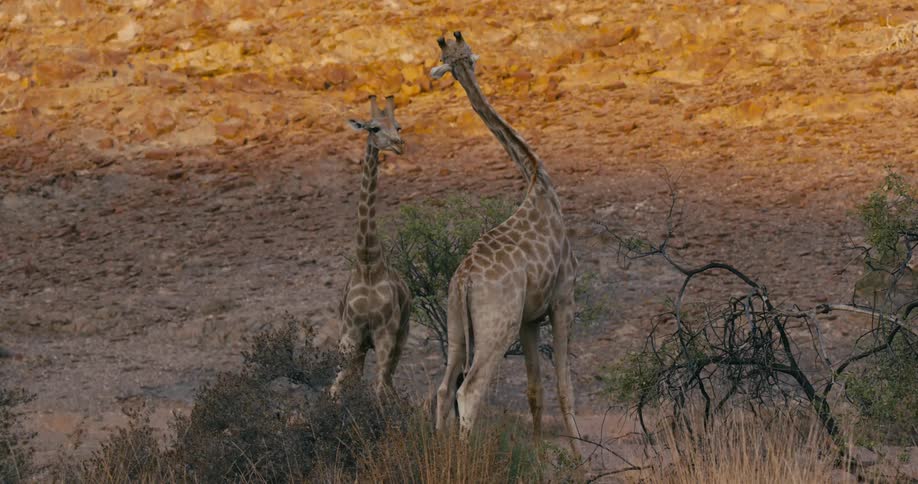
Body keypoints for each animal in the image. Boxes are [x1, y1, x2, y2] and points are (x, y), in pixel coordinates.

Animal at [330, 95, 412, 399]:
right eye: (374, 128)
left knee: (387, 385)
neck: (367, 262)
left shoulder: (385, 333)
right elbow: (335, 389)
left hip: (400, 336)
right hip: (361, 345)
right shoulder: (350, 334)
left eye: (398, 126)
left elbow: (380, 390)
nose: (399, 144)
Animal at [430, 32, 582, 459]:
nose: (469, 66)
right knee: (469, 391)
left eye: (461, 57)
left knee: (444, 388)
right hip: (497, 327)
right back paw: (463, 461)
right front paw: (581, 459)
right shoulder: (563, 298)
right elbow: (564, 388)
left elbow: (534, 390)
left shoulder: (530, 317)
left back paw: (438, 457)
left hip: (457, 324)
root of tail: (465, 280)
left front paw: (539, 455)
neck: (537, 177)